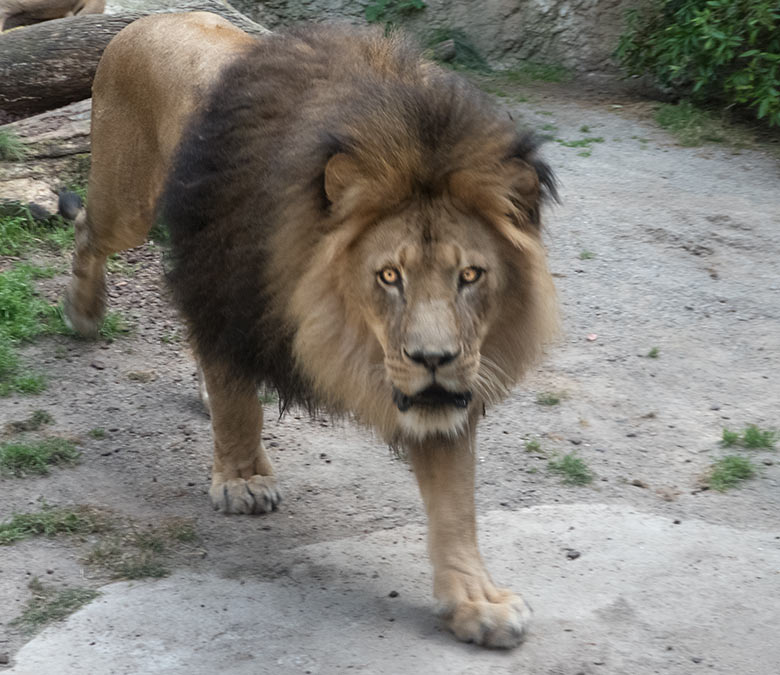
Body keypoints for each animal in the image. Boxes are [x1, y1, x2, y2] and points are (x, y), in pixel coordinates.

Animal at [64, 13, 556, 648]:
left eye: (469, 275)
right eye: (388, 275)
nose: (433, 357)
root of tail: (150, 17)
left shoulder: (444, 388)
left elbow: (455, 500)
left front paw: (476, 601)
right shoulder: (227, 287)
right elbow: (238, 403)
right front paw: (243, 481)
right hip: (127, 202)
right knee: (85, 228)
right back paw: (83, 309)